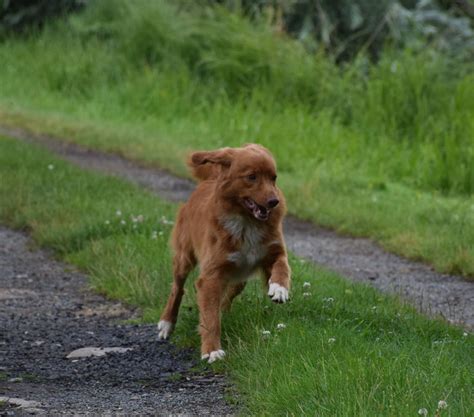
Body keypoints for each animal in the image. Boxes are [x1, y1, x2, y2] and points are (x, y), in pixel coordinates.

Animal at [157, 143, 290, 360]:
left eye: (274, 178)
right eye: (252, 176)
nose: (274, 201)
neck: (247, 222)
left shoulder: (273, 251)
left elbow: (282, 266)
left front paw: (279, 288)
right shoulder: (211, 275)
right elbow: (210, 318)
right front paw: (211, 350)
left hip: (239, 274)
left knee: (231, 292)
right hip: (185, 257)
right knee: (177, 288)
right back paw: (167, 322)